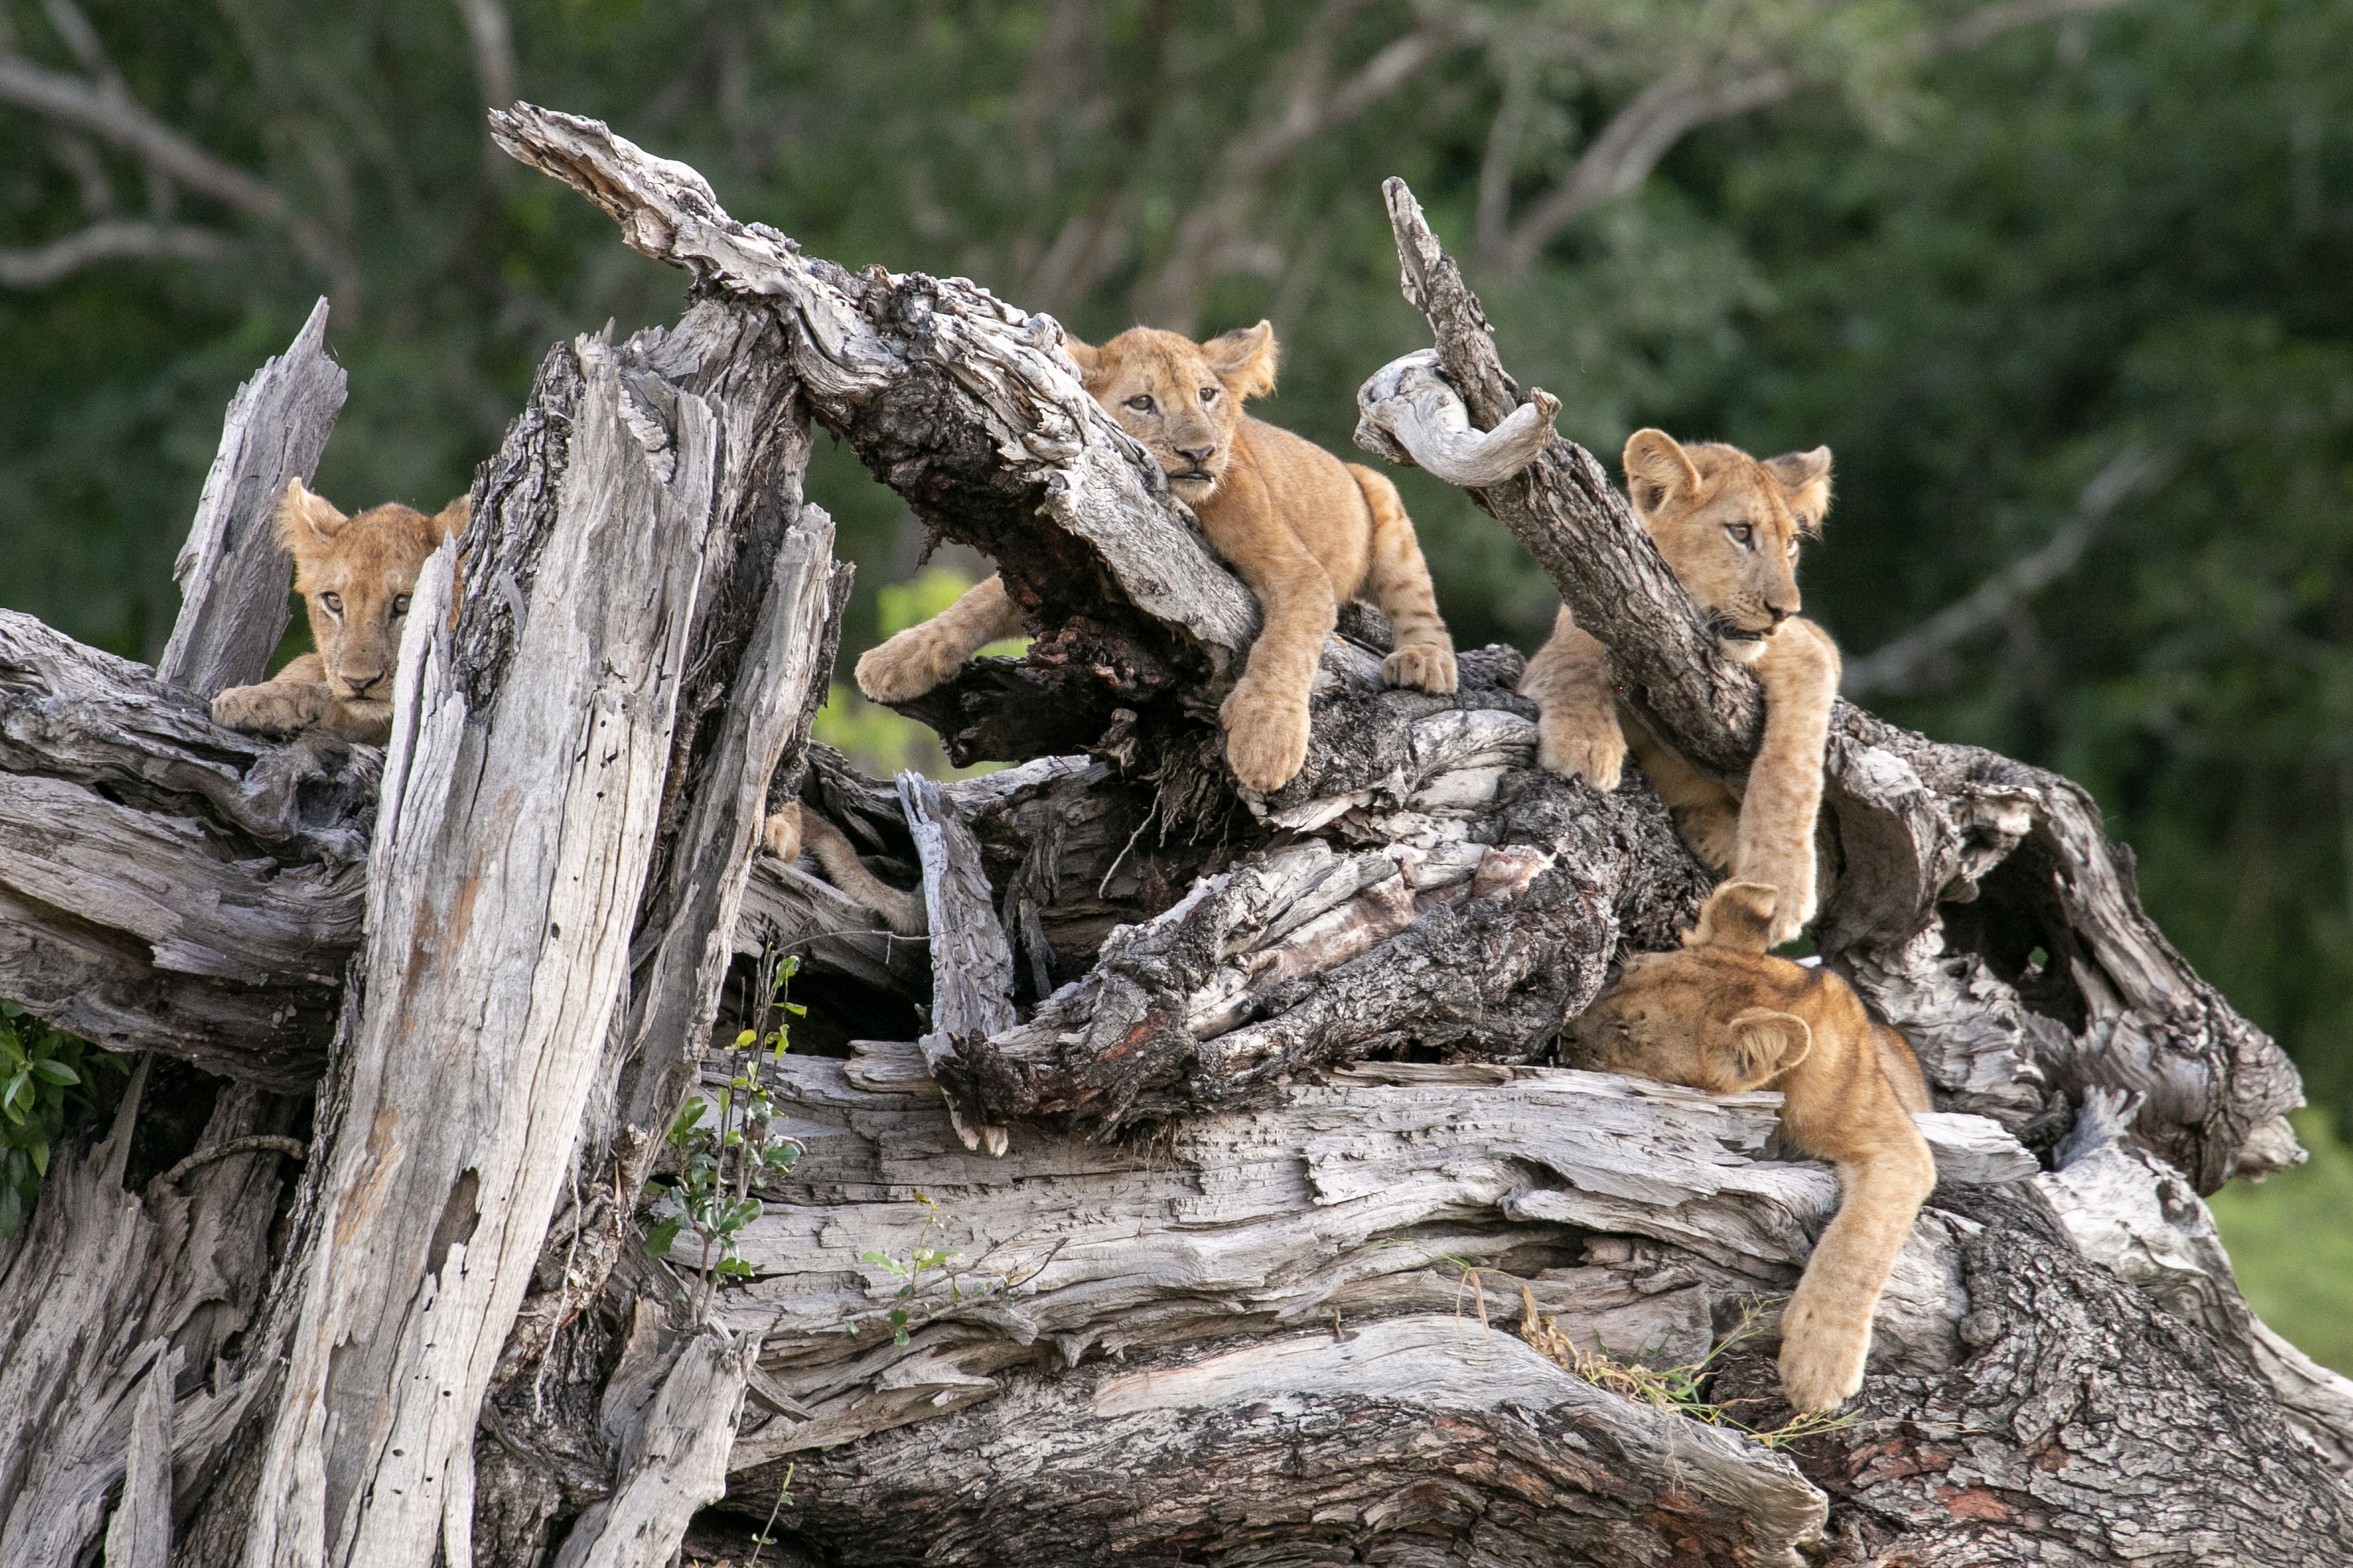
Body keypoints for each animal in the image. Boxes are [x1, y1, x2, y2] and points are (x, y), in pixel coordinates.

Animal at [853, 321, 1459, 793]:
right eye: (1143, 403)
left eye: (1207, 395)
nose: (1200, 452)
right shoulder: (1078, 558)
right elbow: (978, 601)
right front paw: (896, 657)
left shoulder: (1298, 570)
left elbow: (1286, 644)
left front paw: (1266, 740)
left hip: (1381, 493)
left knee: (1419, 606)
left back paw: (1422, 660)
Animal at [1521, 430, 1838, 946]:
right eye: (1740, 532)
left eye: (1791, 544)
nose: (1784, 610)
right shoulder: (1571, 632)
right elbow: (1569, 664)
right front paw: (1585, 744)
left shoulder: (1810, 648)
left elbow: (1791, 772)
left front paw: (1779, 885)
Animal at [1567, 880, 1936, 1413]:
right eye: (1619, 975)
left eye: (1630, 1032)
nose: (1561, 1035)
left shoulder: (1894, 1144)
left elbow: (1857, 1247)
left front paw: (1818, 1367)